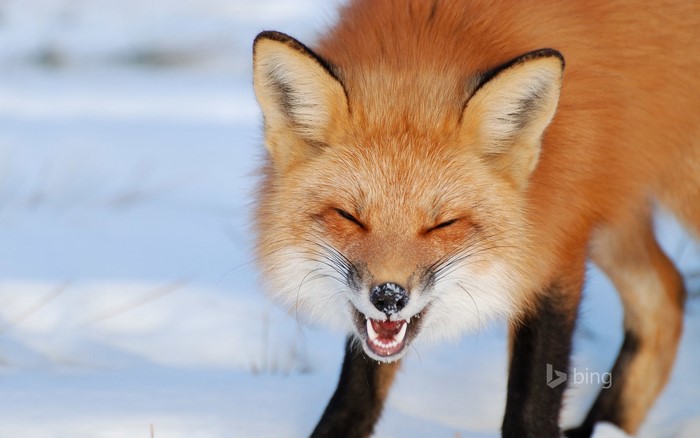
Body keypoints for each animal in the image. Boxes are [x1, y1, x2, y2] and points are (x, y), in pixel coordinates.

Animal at [251, 0, 700, 436]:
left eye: (443, 224)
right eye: (349, 216)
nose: (389, 297)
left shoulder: (554, 242)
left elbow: (531, 407)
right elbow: (356, 396)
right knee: (666, 295)